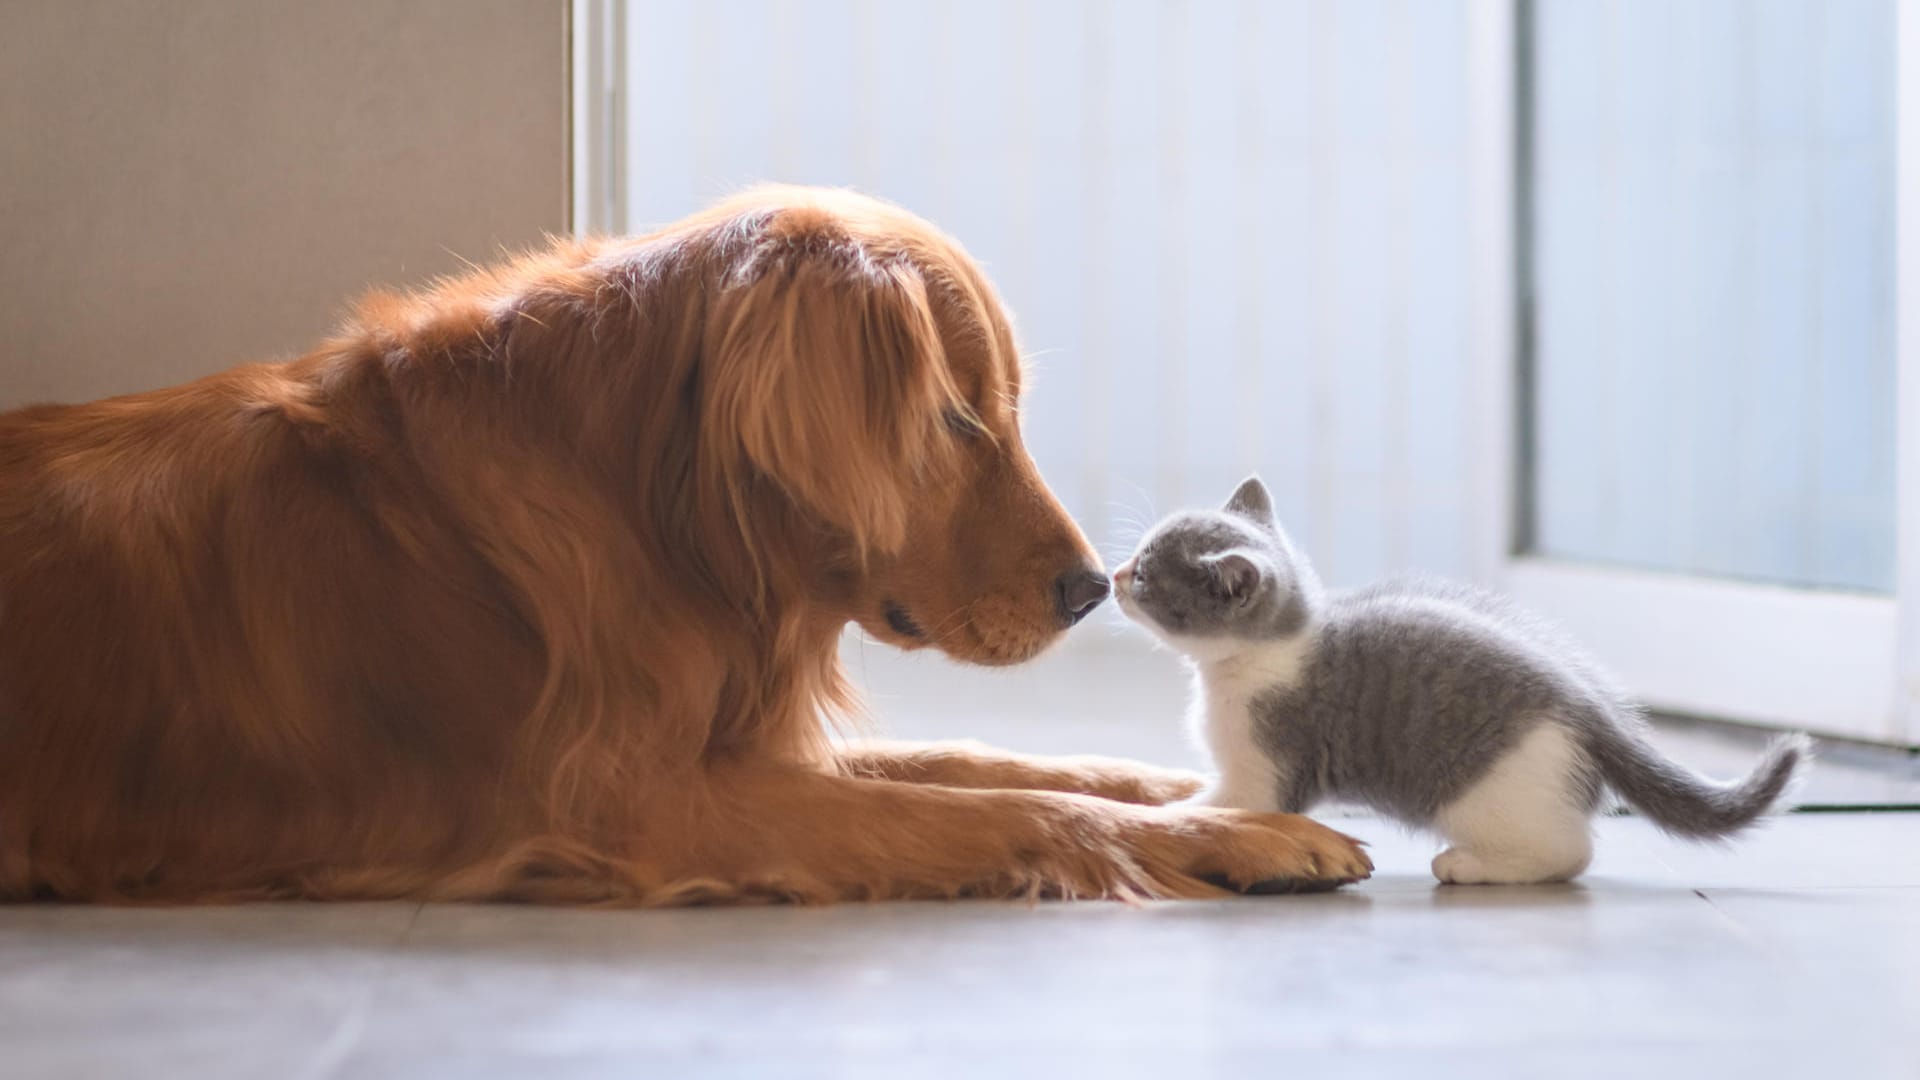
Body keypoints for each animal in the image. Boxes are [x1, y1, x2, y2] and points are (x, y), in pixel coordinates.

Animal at [3, 184, 1382, 899]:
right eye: (952, 420)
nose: (1095, 589)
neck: (657, 519)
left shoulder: (735, 741)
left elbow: (987, 764)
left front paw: (1183, 789)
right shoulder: (636, 803)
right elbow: (1005, 811)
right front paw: (1237, 837)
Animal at [1121, 474, 1804, 880]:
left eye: (1148, 576)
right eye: (1137, 557)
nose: (1119, 575)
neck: (1256, 656)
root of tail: (1590, 709)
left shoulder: (1266, 765)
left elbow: (1229, 805)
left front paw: (1160, 812)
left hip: (1493, 792)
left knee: (1568, 853)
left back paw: (1470, 866)